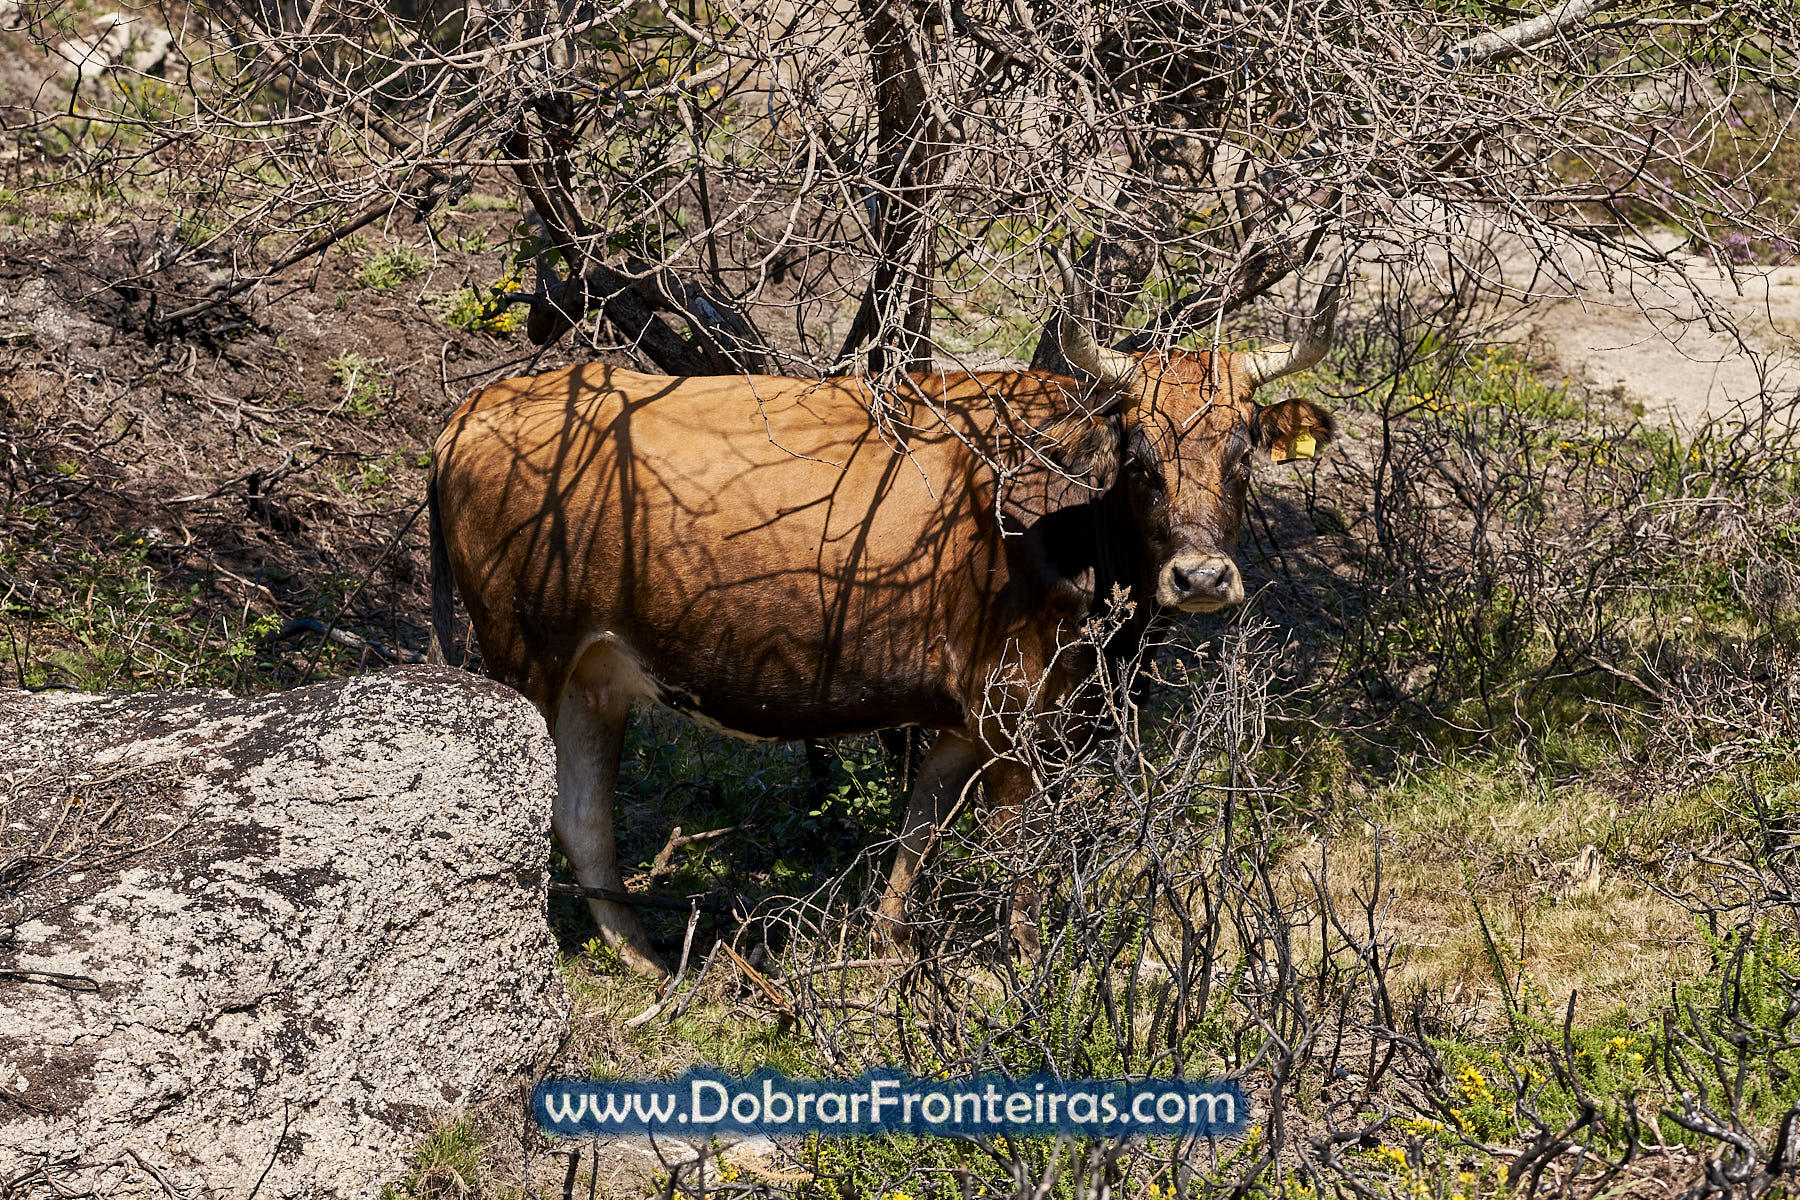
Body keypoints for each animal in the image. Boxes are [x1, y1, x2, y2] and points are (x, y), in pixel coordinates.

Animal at [427, 272, 1341, 979]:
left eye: (1243, 452)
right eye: (1141, 459)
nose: (1200, 577)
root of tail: (484, 404)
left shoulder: (968, 718)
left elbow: (918, 829)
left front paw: (889, 947)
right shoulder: (1016, 712)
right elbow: (1015, 847)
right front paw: (1024, 964)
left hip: (596, 678)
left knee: (585, 816)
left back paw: (644, 957)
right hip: (524, 660)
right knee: (547, 810)